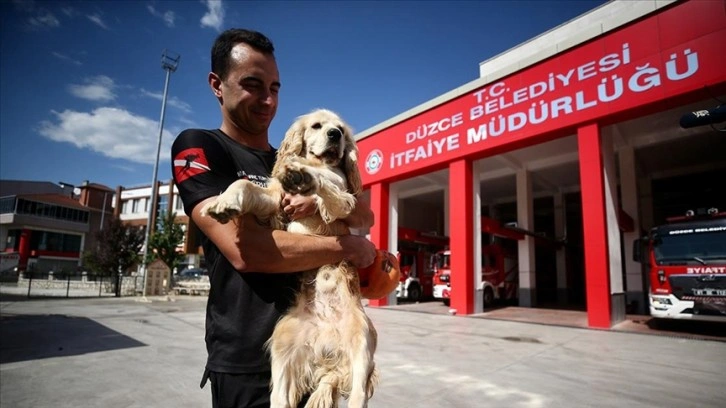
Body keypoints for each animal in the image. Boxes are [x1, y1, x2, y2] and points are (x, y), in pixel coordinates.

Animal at [200, 108, 378, 408]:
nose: (335, 135)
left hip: (362, 339)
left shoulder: (343, 198)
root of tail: (325, 348)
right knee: (281, 397)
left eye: (341, 129)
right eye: (317, 126)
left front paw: (304, 177)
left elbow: (328, 185)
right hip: (282, 341)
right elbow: (244, 184)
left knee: (357, 392)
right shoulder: (275, 199)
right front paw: (224, 202)